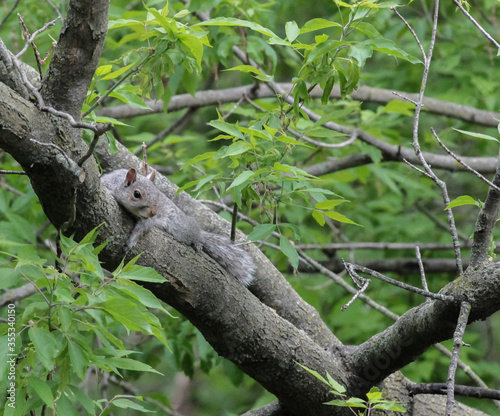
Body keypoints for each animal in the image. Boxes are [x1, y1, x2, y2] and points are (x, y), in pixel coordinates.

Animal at [102, 167, 258, 286]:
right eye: (136, 194)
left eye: (158, 194)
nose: (154, 212)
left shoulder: (151, 219)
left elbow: (142, 228)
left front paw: (132, 240)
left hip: (182, 228)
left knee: (195, 236)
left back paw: (198, 242)